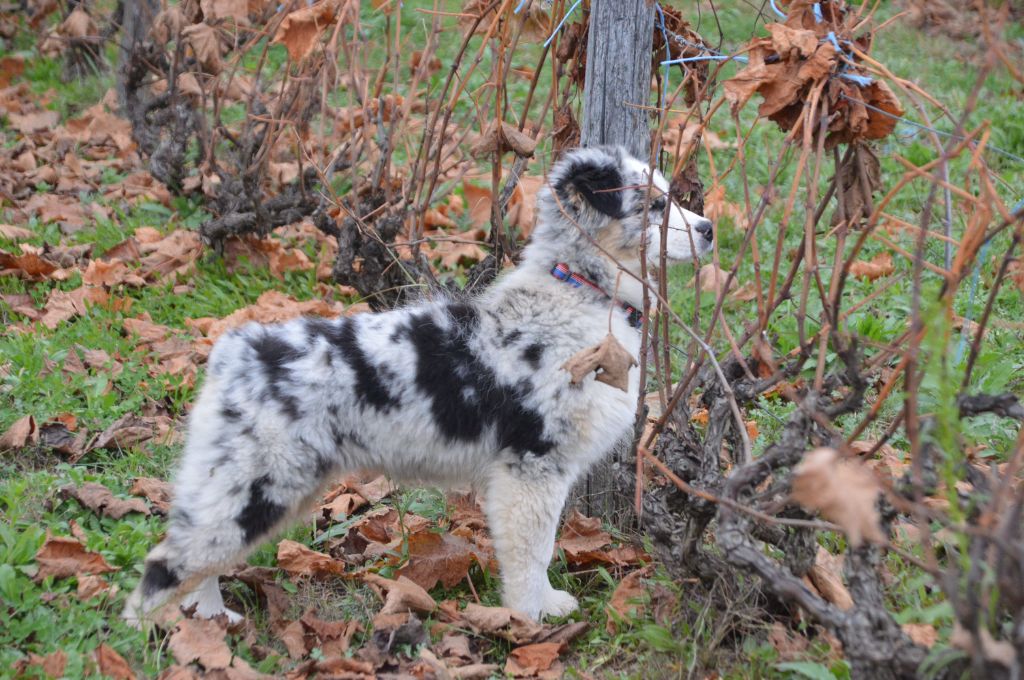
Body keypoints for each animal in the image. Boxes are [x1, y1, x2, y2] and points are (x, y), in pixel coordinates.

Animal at [123, 146, 716, 622]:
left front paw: (542, 606)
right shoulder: (532, 467)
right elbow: (533, 550)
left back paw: (209, 620)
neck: (579, 288)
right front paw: (532, 615)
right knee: (167, 565)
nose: (709, 229)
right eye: (654, 205)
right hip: (254, 482)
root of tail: (233, 351)